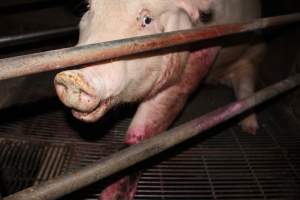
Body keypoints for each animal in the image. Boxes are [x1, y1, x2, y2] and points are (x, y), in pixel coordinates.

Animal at [54, 0, 264, 199]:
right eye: (88, 8)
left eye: (147, 19)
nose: (73, 76)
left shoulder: (204, 51)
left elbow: (148, 124)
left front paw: (111, 196)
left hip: (253, 54)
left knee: (246, 88)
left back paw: (250, 129)